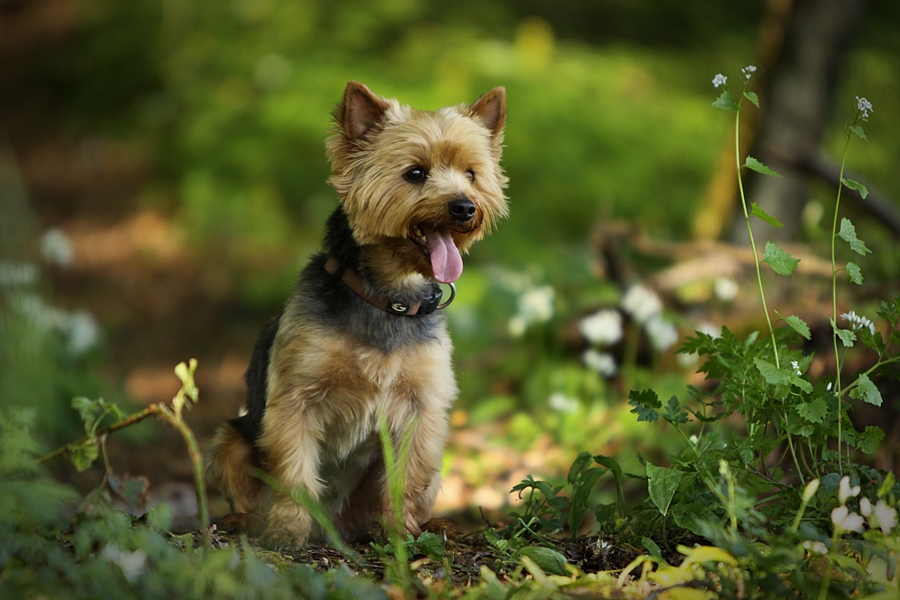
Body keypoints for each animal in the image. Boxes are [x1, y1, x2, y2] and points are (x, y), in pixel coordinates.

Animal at [207, 81, 510, 548]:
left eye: (472, 174)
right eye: (415, 173)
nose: (464, 207)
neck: (388, 296)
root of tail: (339, 526)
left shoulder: (422, 410)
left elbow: (407, 476)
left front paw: (401, 535)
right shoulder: (295, 400)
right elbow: (294, 469)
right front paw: (287, 531)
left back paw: (427, 526)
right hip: (231, 438)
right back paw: (245, 521)